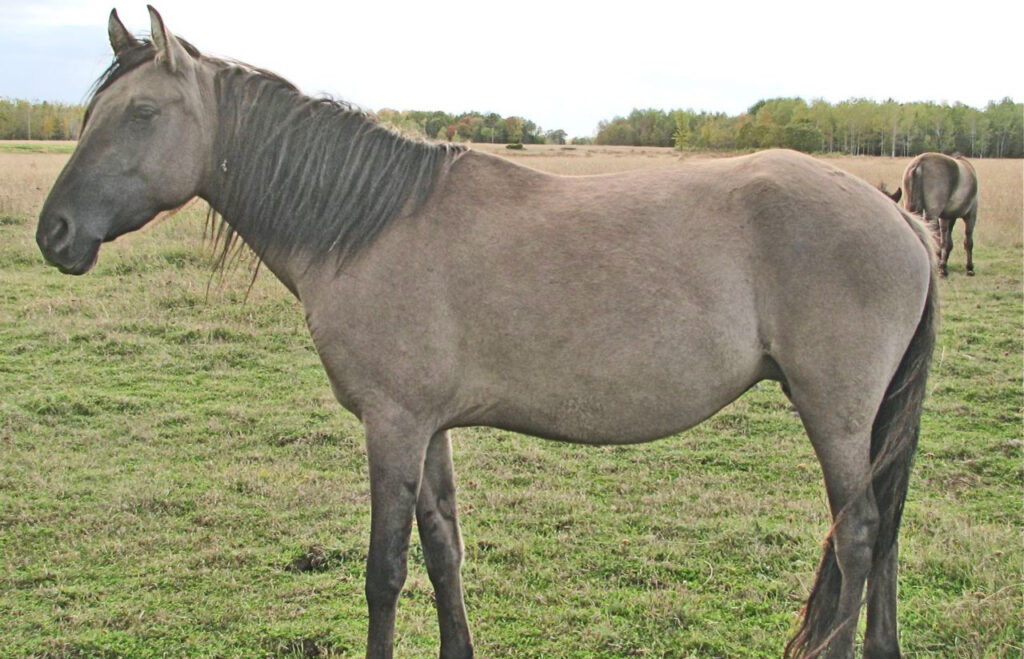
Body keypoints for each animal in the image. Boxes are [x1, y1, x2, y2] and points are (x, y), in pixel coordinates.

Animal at [36, 8, 937, 658]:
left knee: (859, 537)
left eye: (142, 112)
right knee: (887, 535)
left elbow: (385, 570)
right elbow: (444, 551)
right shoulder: (428, 426)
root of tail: (901, 218)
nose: (54, 232)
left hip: (835, 412)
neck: (367, 224)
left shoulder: (392, 424)